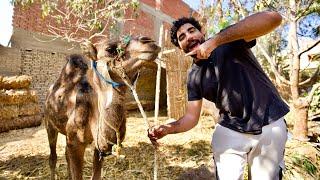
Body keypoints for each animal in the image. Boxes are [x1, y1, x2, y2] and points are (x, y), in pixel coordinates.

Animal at [44, 35, 160, 179]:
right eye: (110, 49)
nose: (149, 41)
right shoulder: (75, 143)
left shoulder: (99, 145)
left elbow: (96, 175)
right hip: (49, 124)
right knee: (53, 157)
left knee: (65, 153)